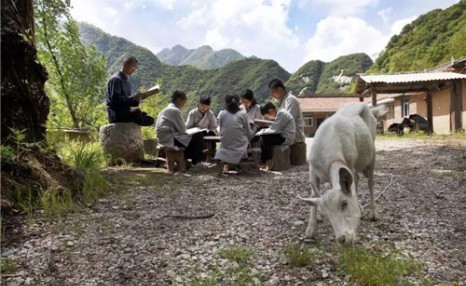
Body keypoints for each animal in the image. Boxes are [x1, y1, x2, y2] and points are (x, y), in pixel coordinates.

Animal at [300, 102, 388, 244]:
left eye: (344, 204)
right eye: (326, 214)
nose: (342, 239)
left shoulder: (350, 163)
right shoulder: (313, 170)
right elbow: (314, 193)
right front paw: (310, 230)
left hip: (372, 152)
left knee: (370, 182)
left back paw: (373, 213)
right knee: (357, 179)